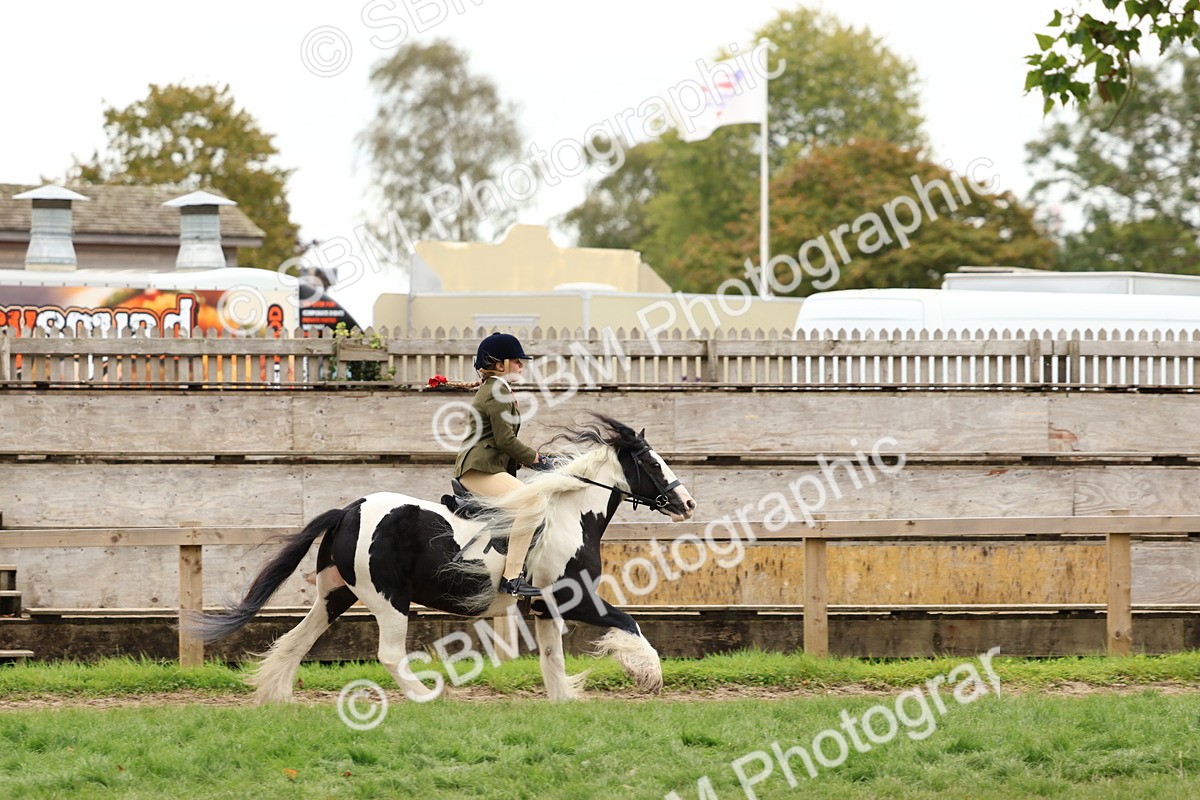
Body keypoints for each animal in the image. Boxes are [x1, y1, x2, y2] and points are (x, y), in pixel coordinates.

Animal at [185, 414, 696, 703]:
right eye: (652, 464)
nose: (687, 503)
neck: (569, 512)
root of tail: (348, 510)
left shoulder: (545, 607)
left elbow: (553, 659)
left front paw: (564, 701)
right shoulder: (577, 598)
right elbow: (628, 623)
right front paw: (648, 675)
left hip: (335, 595)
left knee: (296, 640)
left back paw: (277, 697)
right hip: (389, 599)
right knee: (389, 654)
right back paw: (427, 696)